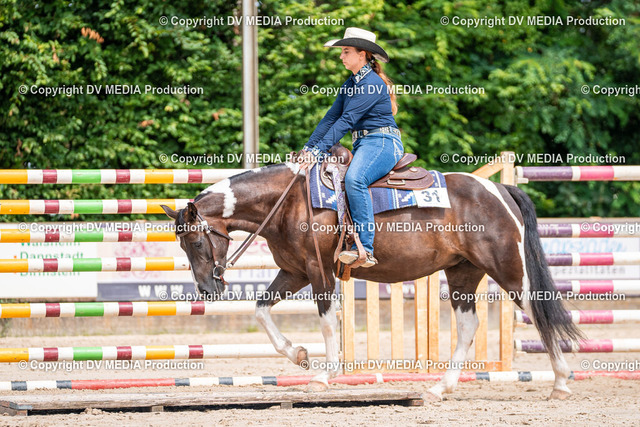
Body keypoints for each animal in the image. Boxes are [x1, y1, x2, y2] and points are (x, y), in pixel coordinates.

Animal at [161, 161, 582, 401]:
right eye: (181, 244)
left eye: (195, 241)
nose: (207, 289)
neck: (287, 202)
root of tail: (499, 189)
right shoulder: (293, 272)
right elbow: (261, 309)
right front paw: (298, 354)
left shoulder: (318, 271)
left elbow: (328, 323)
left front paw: (325, 375)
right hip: (463, 272)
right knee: (468, 326)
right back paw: (439, 387)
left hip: (507, 269)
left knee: (538, 312)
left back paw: (561, 383)